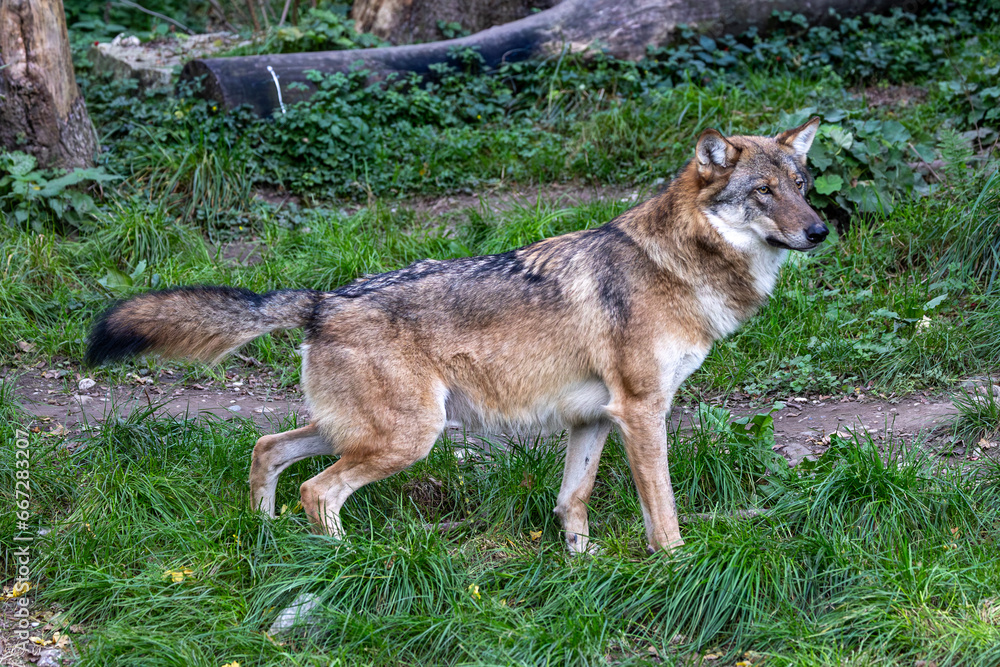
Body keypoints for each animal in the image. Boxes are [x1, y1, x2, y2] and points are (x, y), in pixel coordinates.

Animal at [86, 118, 824, 552]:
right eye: (762, 192)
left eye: (802, 184)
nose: (820, 230)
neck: (679, 265)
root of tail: (322, 300)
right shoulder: (642, 412)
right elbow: (663, 511)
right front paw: (671, 566)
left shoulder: (594, 417)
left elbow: (572, 499)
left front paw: (581, 567)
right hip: (407, 438)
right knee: (317, 490)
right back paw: (345, 563)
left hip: (371, 430)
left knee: (268, 449)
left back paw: (270, 540)